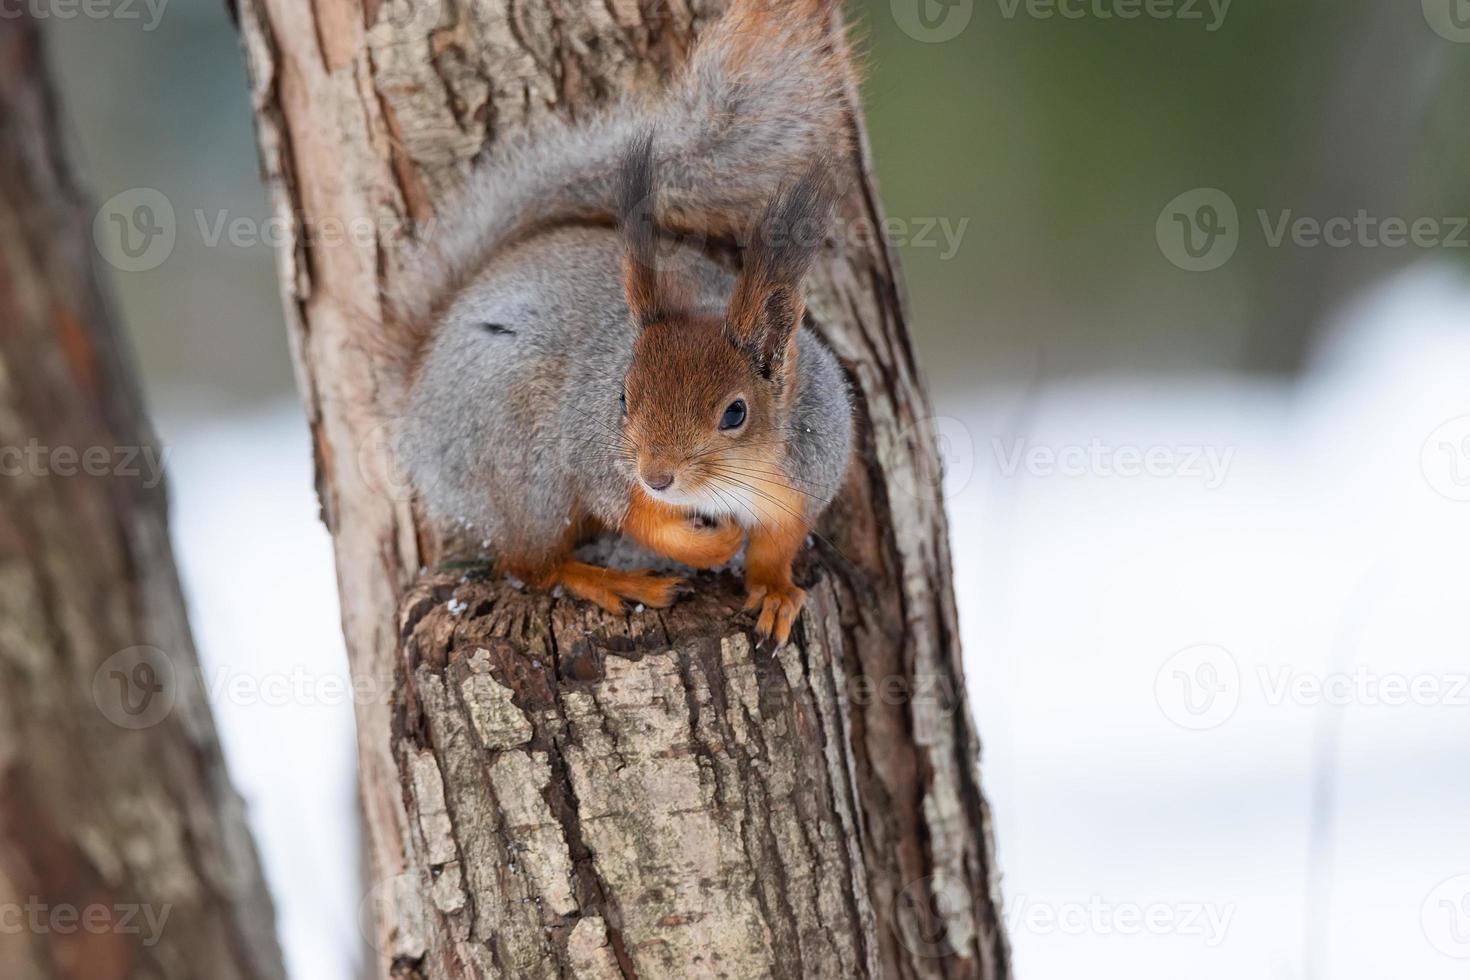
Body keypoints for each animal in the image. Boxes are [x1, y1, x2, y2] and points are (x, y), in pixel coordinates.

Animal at [385, 0, 858, 646]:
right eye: (622, 398)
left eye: (735, 413)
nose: (658, 476)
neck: (736, 479)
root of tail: (413, 402)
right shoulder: (599, 456)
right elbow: (637, 517)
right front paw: (711, 545)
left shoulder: (806, 479)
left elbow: (776, 544)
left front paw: (776, 591)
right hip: (523, 467)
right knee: (530, 563)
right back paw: (614, 581)